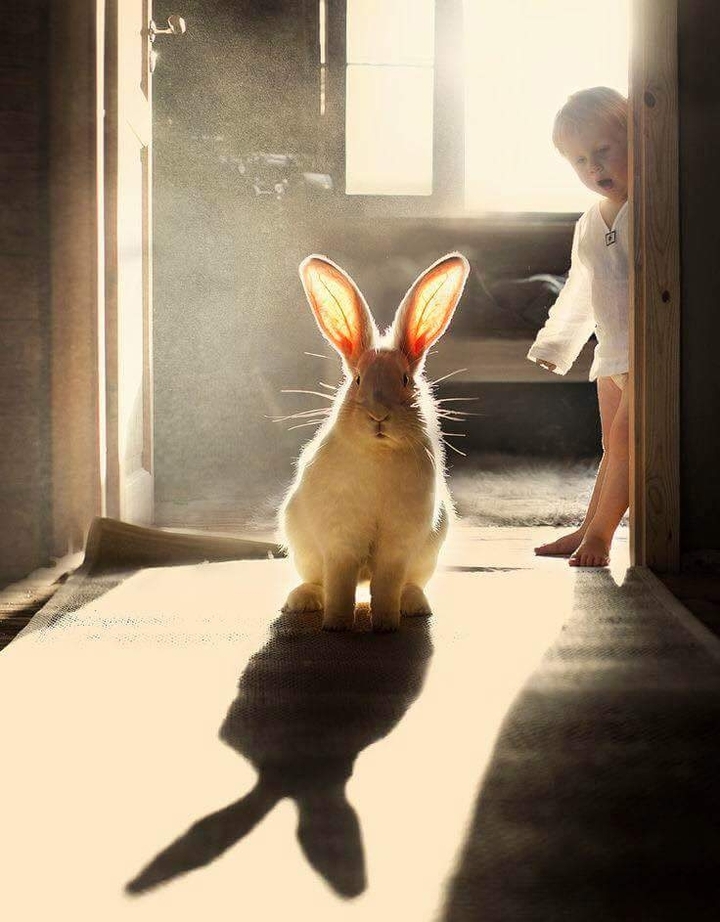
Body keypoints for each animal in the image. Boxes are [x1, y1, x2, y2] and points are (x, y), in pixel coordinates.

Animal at [280, 252, 470, 632]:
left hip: (427, 554)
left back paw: (414, 605)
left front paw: (385, 625)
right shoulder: (340, 541)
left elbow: (387, 585)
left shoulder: (398, 545)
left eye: (406, 379)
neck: (379, 454)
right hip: (303, 547)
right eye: (356, 381)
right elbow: (340, 584)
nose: (379, 415)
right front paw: (336, 625)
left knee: (408, 583)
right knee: (318, 581)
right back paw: (303, 601)